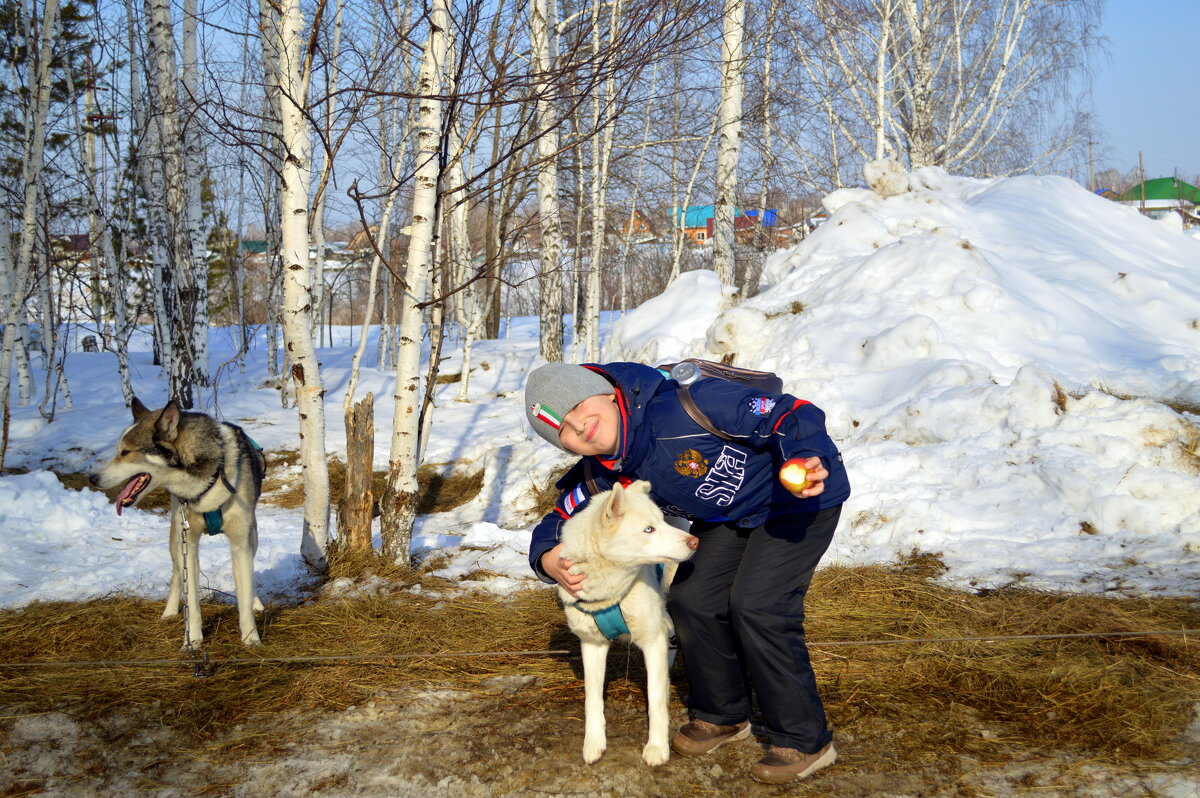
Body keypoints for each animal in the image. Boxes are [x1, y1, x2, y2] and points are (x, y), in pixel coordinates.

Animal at [91, 398, 267, 648]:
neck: (206, 480)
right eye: (119, 451)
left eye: (126, 452)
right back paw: (169, 611)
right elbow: (191, 600)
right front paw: (192, 641)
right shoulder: (188, 545)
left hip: (253, 537)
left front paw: (251, 639)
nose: (92, 478)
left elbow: (243, 598)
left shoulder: (240, 544)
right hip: (176, 536)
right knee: (176, 574)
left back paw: (255, 601)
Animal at [556, 480, 700, 768]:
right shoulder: (592, 645)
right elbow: (592, 699)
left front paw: (656, 747)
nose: (694, 542)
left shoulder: (651, 640)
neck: (612, 593)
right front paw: (594, 743)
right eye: (648, 529)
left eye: (659, 521)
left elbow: (655, 700)